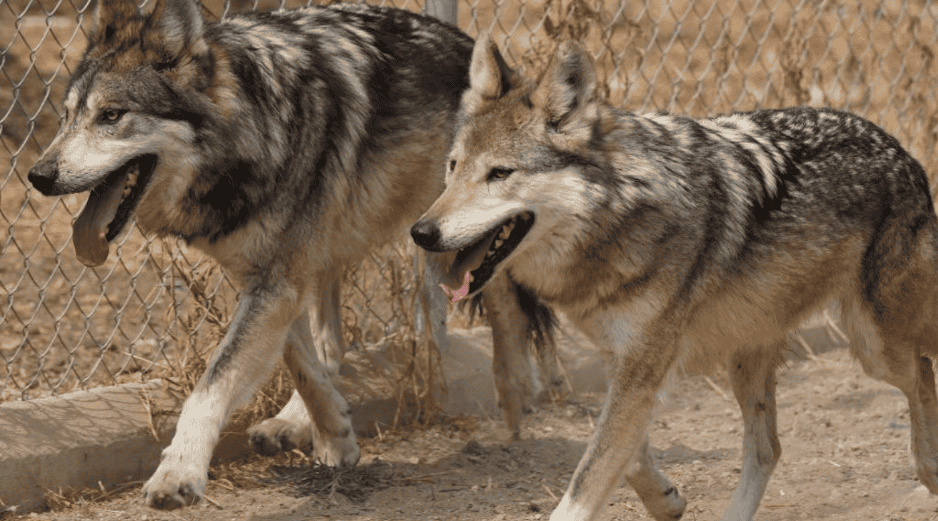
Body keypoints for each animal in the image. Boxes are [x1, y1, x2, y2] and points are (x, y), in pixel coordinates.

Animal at [26, 0, 559, 510]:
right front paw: (335, 433)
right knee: (330, 343)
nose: (38, 175)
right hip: (332, 251)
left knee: (507, 305)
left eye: (111, 115)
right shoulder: (268, 275)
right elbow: (298, 359)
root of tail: (466, 42)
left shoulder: (277, 279)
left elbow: (212, 384)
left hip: (452, 237)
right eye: (67, 116)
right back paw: (297, 424)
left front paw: (178, 474)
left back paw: (516, 395)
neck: (253, 127)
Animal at [411, 37, 938, 521]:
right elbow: (623, 453)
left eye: (500, 173)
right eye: (453, 167)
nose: (421, 232)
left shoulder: (643, 364)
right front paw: (665, 498)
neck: (621, 210)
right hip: (746, 358)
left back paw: (929, 469)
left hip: (873, 349)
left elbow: (588, 478)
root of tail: (901, 150)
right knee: (768, 448)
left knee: (923, 372)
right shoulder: (625, 362)